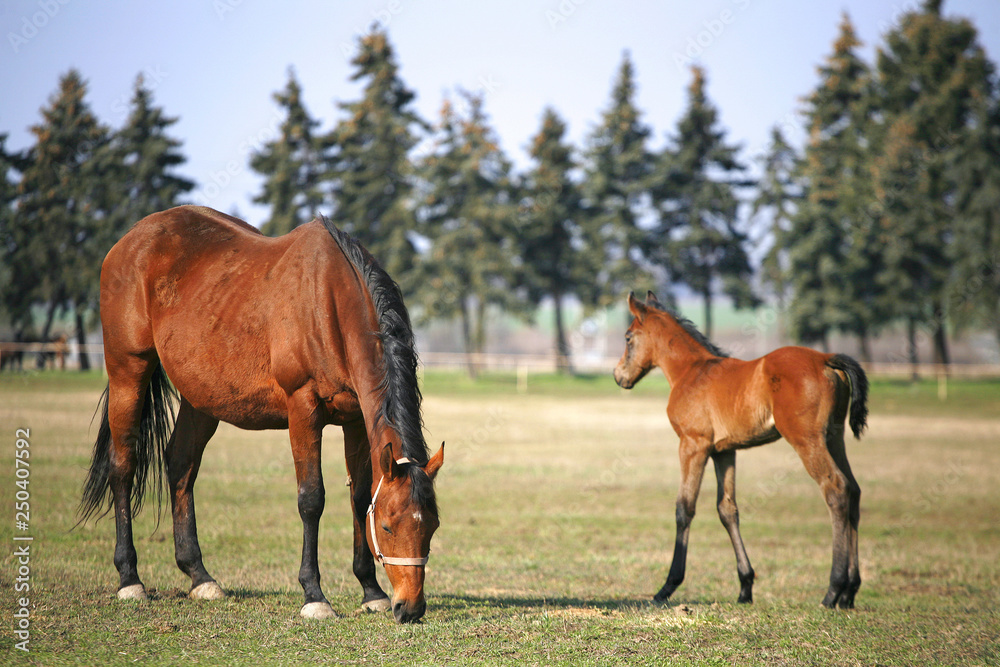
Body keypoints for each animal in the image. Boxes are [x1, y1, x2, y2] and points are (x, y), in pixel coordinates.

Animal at [79, 205, 443, 624]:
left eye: (432, 526)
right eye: (386, 526)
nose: (410, 608)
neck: (331, 301)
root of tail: (129, 240)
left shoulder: (355, 419)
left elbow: (359, 496)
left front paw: (371, 591)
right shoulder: (303, 408)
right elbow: (311, 498)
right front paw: (314, 595)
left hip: (201, 399)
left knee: (180, 463)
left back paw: (199, 576)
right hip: (128, 371)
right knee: (123, 466)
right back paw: (129, 579)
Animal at [613, 291, 868, 609]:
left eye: (627, 337)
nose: (618, 376)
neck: (691, 372)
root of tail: (825, 359)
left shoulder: (693, 445)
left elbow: (684, 508)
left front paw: (667, 587)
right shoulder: (724, 451)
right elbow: (727, 509)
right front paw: (745, 587)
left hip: (806, 440)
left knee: (836, 489)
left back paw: (833, 590)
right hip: (834, 437)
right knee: (854, 490)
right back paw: (850, 592)